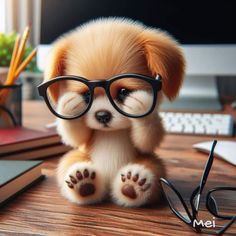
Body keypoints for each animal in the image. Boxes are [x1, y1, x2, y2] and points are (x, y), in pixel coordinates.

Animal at [43, 18, 184, 206]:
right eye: (86, 95)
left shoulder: (146, 144)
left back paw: (132, 185)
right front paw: (69, 106)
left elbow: (147, 140)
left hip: (154, 164)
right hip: (74, 157)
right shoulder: (82, 140)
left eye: (124, 92)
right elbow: (77, 137)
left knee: (151, 170)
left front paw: (141, 105)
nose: (102, 115)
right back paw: (83, 183)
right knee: (70, 163)